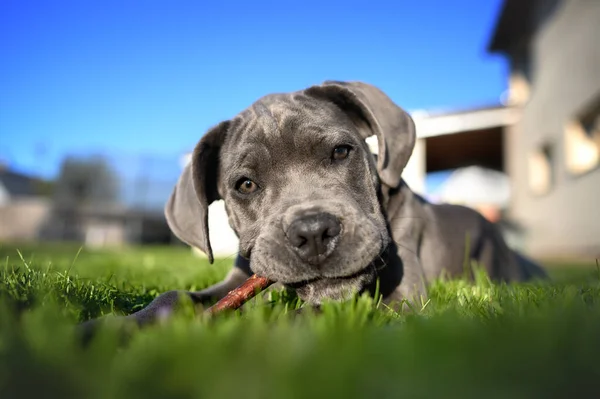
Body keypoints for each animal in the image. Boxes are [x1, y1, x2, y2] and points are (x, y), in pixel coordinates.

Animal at [78, 81, 544, 334]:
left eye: (341, 152)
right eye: (245, 185)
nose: (313, 232)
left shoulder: (405, 298)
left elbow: (312, 313)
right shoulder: (237, 279)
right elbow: (173, 295)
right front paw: (112, 328)